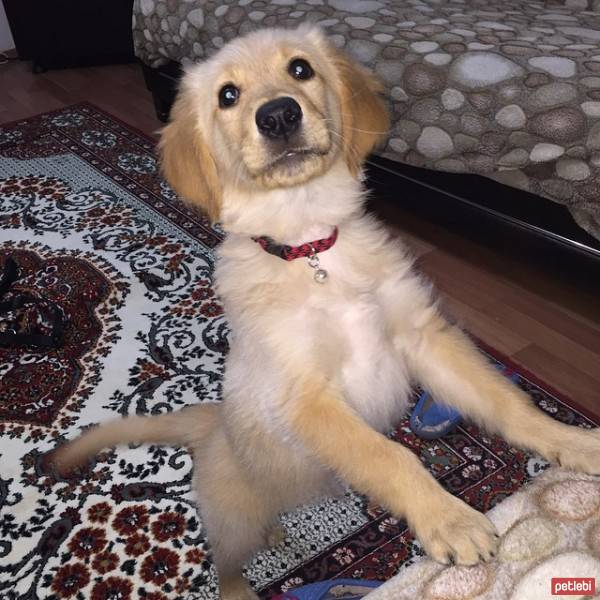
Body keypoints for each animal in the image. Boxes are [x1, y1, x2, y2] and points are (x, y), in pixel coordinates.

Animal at [50, 24, 600, 600]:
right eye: (228, 95)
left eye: (300, 69)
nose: (278, 116)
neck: (311, 246)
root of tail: (213, 426)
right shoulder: (306, 398)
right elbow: (391, 455)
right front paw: (447, 518)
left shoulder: (424, 337)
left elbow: (509, 404)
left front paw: (570, 443)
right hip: (234, 514)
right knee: (225, 561)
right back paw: (241, 582)